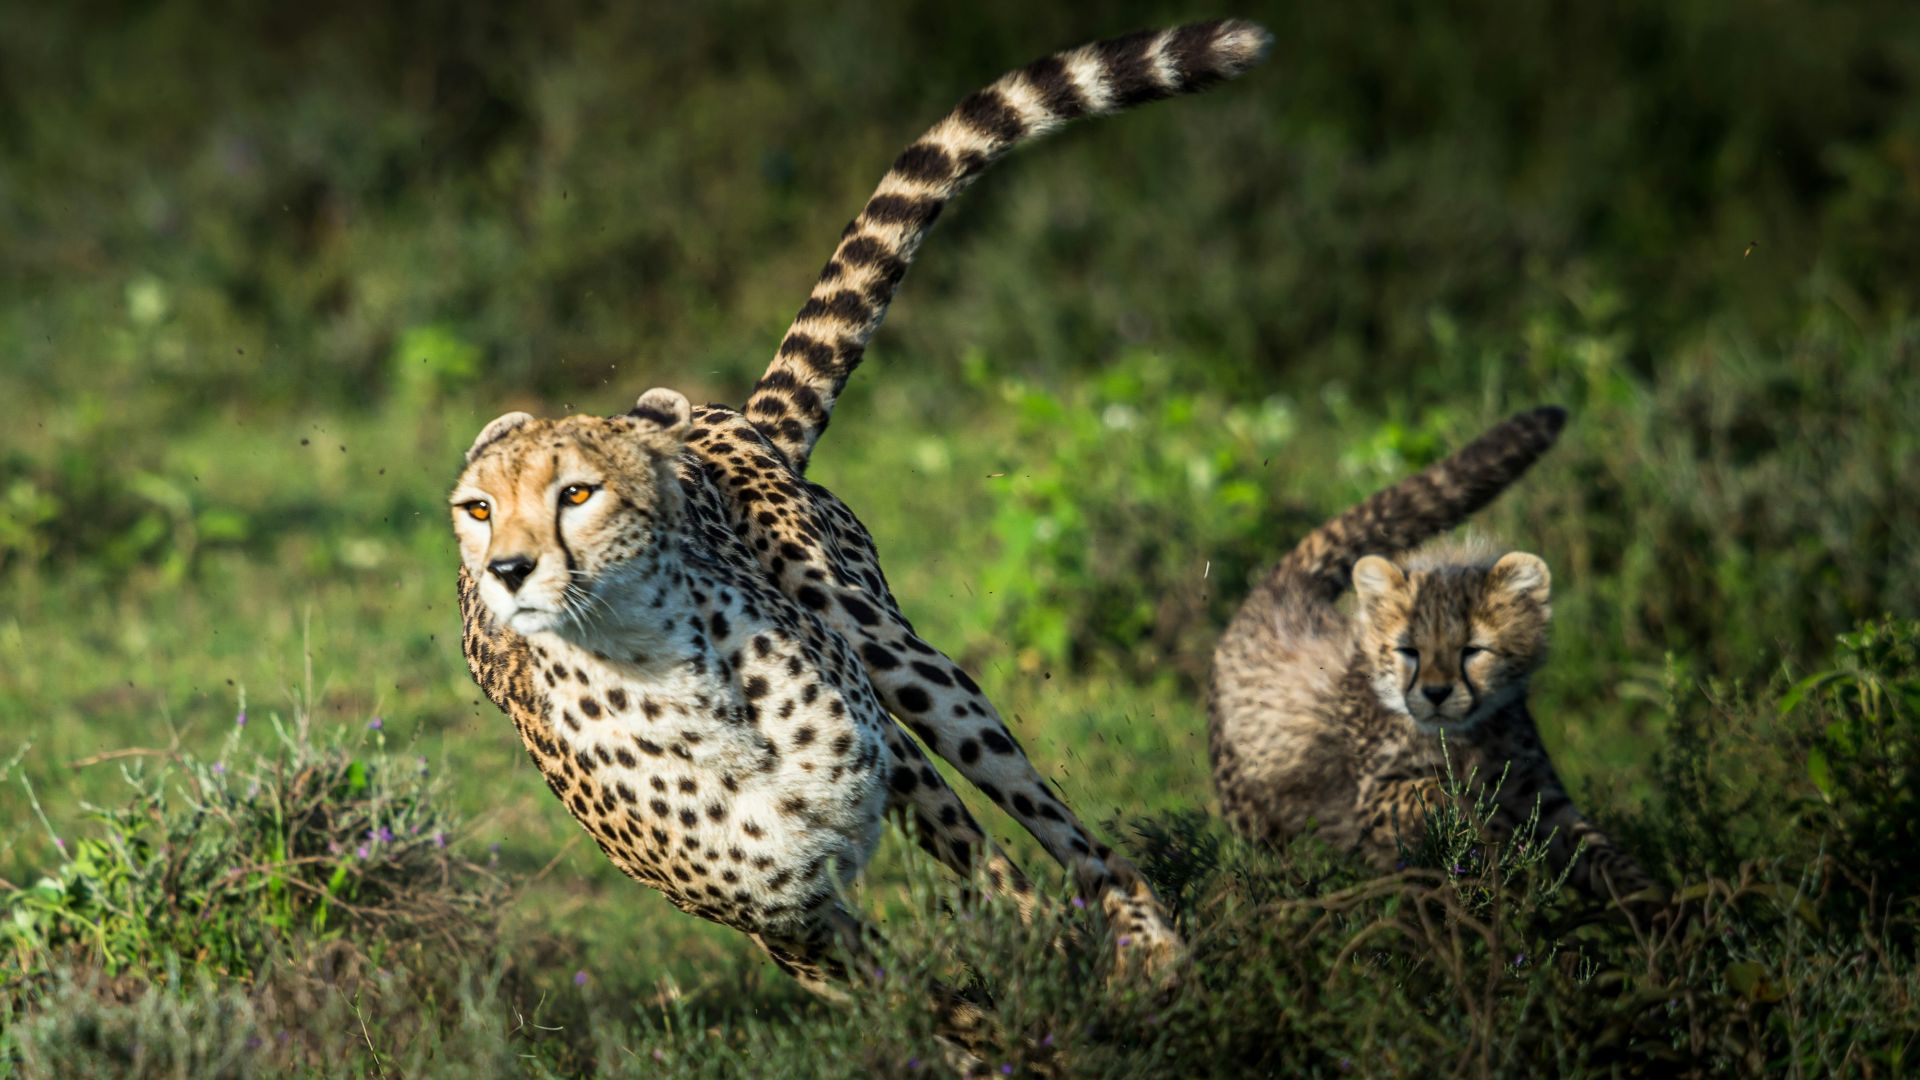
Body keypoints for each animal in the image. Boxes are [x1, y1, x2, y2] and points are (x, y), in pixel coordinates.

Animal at [449, 19, 1272, 1048]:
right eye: (477, 509)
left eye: (577, 493)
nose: (508, 570)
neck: (664, 681)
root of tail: (724, 415)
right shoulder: (788, 925)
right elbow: (930, 1004)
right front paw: (1010, 1036)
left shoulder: (891, 772)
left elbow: (1006, 899)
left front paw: (1062, 993)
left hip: (896, 658)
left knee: (1063, 832)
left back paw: (1148, 946)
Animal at [1208, 406, 1661, 910]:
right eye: (1408, 650)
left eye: (1472, 650)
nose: (1437, 693)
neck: (1465, 737)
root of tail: (1282, 589)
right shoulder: (1371, 799)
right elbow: (1435, 791)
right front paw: (1484, 825)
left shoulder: (1540, 797)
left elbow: (1601, 853)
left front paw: (1662, 910)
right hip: (1253, 813)